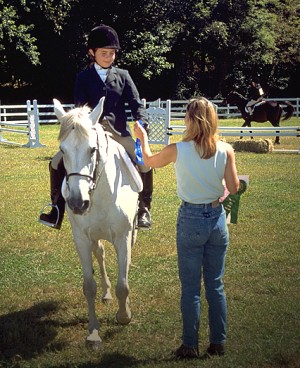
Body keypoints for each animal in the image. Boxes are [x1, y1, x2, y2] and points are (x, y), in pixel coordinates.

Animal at [53, 97, 142, 348]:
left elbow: (124, 284)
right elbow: (89, 287)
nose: (77, 203)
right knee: (100, 254)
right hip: (94, 237)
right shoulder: (82, 239)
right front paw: (93, 332)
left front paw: (124, 316)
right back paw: (106, 293)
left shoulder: (122, 237)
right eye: (62, 150)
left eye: (92, 149)